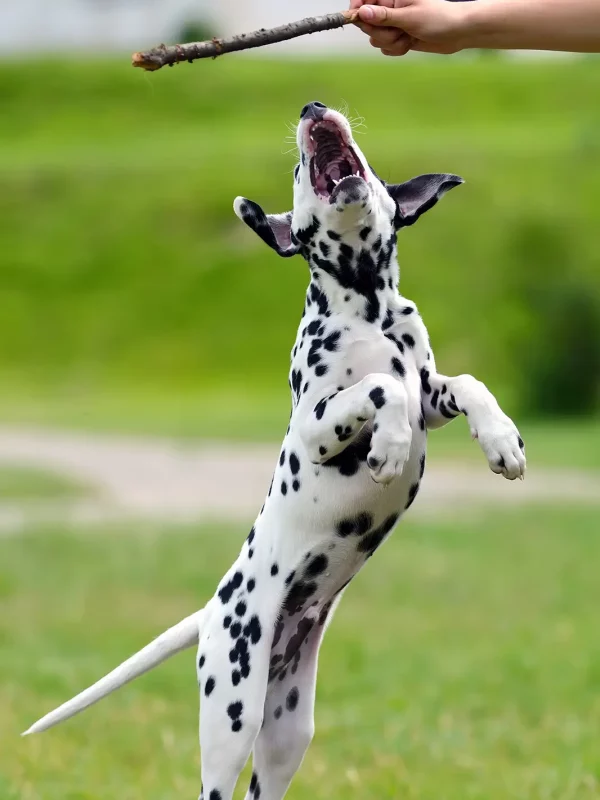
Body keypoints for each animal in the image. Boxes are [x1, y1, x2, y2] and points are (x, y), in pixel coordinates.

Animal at [24, 103, 524, 796]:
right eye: (294, 170)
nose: (313, 107)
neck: (368, 309)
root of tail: (211, 610)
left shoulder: (429, 393)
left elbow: (462, 383)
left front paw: (502, 441)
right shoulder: (316, 425)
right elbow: (379, 388)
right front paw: (389, 448)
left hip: (287, 733)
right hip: (232, 714)